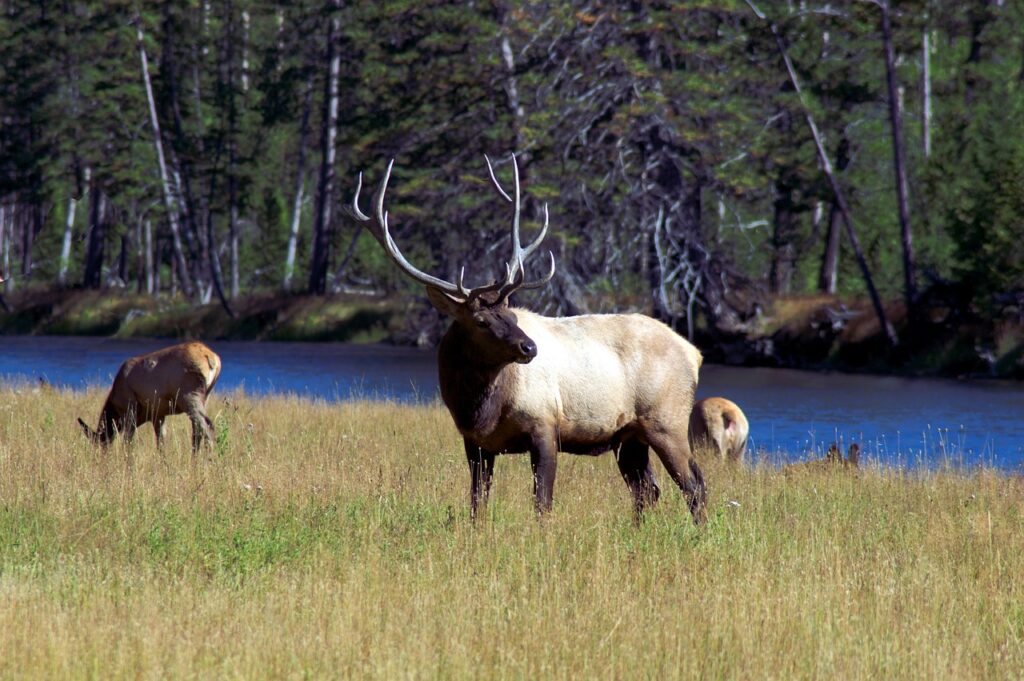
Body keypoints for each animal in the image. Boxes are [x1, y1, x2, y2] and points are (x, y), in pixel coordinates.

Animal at [77, 342, 221, 452]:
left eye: (99, 443)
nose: (102, 457)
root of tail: (213, 359)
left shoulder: (130, 406)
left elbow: (128, 440)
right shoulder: (158, 414)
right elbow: (161, 443)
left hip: (189, 396)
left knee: (207, 427)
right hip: (204, 397)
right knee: (198, 431)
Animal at [348, 156, 707, 524]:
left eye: (511, 316)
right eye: (480, 321)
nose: (529, 347)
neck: (479, 409)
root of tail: (694, 353)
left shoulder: (545, 426)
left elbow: (542, 503)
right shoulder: (476, 442)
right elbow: (477, 501)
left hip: (666, 421)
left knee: (694, 484)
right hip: (629, 435)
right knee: (647, 489)